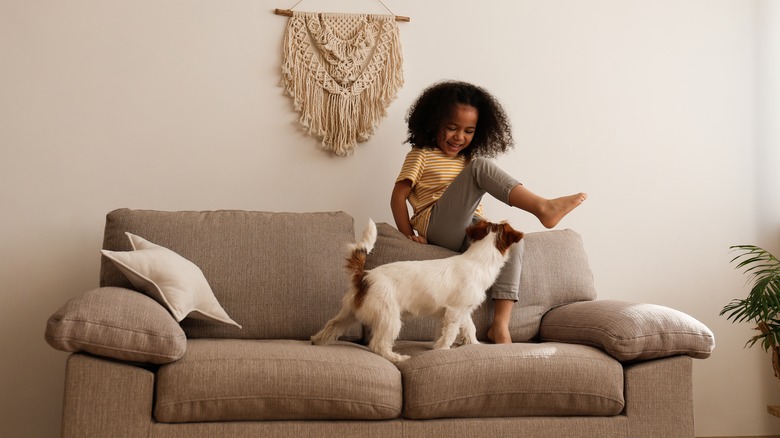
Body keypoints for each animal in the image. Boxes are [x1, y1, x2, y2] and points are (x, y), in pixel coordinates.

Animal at [310, 219, 524, 362]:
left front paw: (474, 344)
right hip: (389, 318)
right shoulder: (455, 311)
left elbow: (469, 328)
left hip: (349, 313)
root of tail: (364, 277)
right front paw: (442, 349)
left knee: (332, 325)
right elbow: (450, 333)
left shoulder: (464, 311)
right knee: (378, 344)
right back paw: (396, 357)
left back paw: (317, 340)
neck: (479, 259)